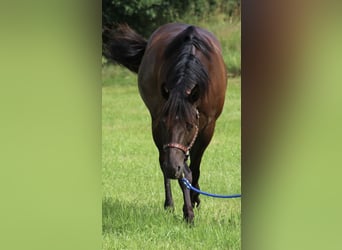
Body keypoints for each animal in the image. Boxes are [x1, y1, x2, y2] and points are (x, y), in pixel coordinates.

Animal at [103, 23, 228, 223]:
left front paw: (194, 201)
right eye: (164, 124)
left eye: (190, 125)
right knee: (163, 162)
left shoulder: (208, 127)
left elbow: (195, 168)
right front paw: (188, 212)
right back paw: (169, 204)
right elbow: (184, 172)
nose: (172, 167)